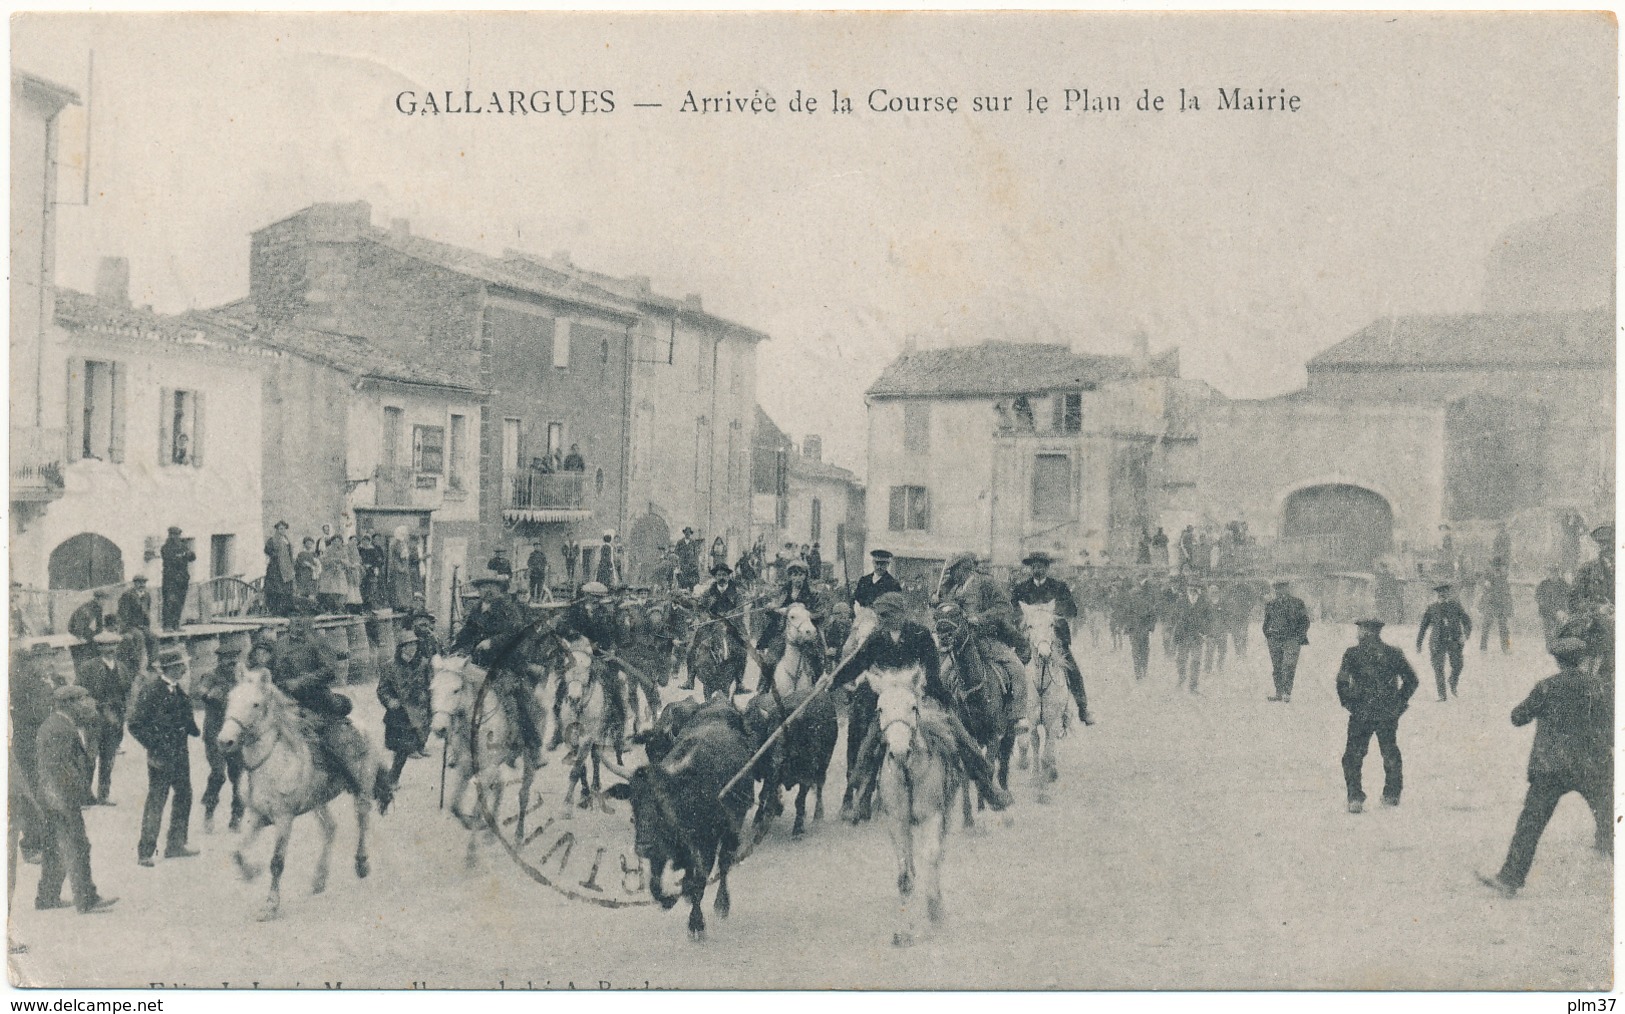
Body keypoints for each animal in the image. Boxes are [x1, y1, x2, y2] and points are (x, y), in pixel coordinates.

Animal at [429, 650, 542, 864]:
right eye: (433, 689)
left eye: (456, 690)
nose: (440, 728)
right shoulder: (466, 768)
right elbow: (454, 805)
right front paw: (477, 826)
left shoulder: (488, 769)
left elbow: (477, 809)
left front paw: (471, 855)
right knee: (500, 786)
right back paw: (491, 833)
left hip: (528, 760)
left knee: (523, 794)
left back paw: (518, 838)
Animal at [871, 663, 955, 949]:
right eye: (880, 709)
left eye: (913, 707)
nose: (898, 752)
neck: (909, 775)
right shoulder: (897, 822)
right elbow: (906, 876)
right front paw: (904, 932)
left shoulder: (933, 816)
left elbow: (931, 857)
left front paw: (935, 914)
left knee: (938, 856)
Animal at [929, 601, 1014, 832]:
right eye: (936, 615)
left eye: (958, 614)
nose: (943, 634)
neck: (975, 691)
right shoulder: (966, 736)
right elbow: (970, 772)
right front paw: (969, 817)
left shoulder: (995, 735)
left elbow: (990, 767)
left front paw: (989, 805)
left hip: (1010, 733)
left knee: (1003, 766)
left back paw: (1005, 800)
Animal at [1014, 601, 1066, 799]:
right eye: (1030, 626)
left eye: (1051, 624)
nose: (1044, 654)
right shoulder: (1032, 719)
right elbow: (1035, 743)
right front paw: (1035, 777)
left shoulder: (1054, 720)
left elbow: (1048, 751)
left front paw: (1048, 776)